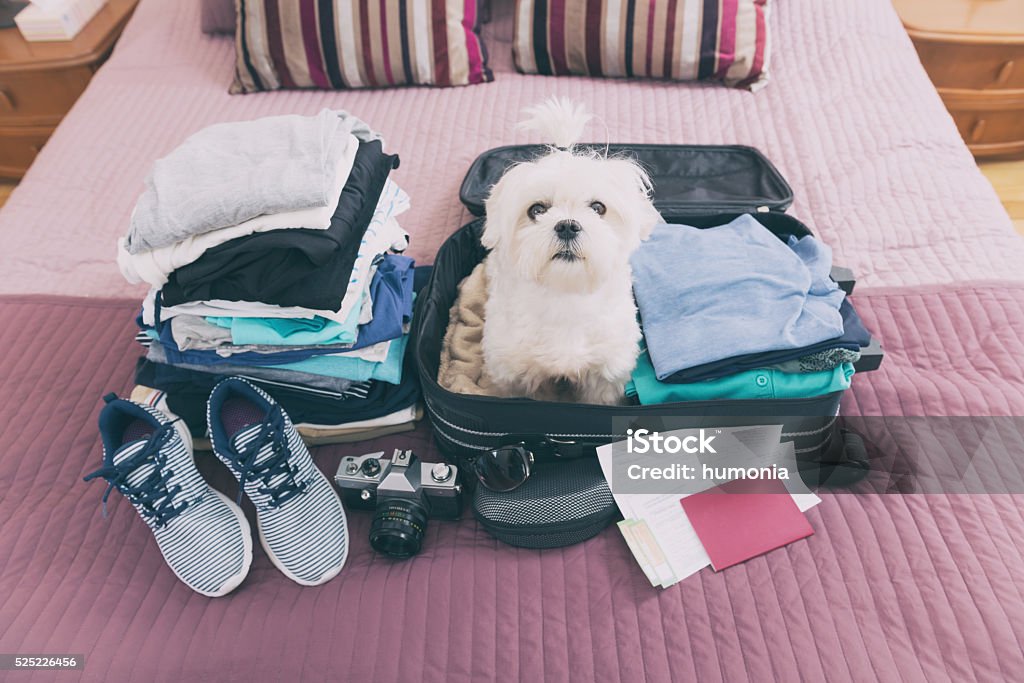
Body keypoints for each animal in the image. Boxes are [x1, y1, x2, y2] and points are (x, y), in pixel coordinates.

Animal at [481, 98, 663, 403]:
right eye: (537, 210)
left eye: (598, 208)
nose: (567, 225)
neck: (565, 295)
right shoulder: (519, 376)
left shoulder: (605, 375)